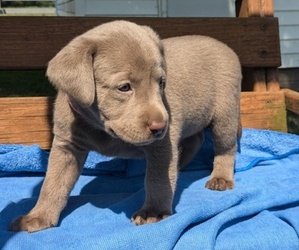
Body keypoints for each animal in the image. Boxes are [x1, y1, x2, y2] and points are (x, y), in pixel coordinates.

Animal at [10, 20, 243, 232]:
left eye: (161, 83)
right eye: (124, 87)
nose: (160, 126)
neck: (102, 128)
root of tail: (224, 46)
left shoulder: (162, 146)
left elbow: (157, 180)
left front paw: (154, 211)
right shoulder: (66, 147)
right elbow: (52, 183)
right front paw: (39, 216)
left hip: (224, 115)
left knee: (226, 148)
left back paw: (220, 177)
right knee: (196, 139)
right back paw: (181, 165)